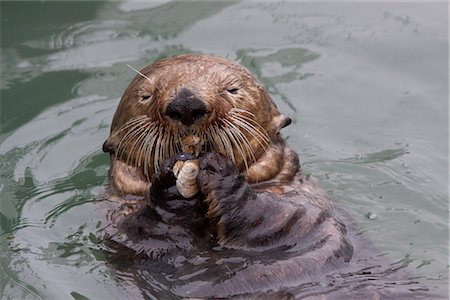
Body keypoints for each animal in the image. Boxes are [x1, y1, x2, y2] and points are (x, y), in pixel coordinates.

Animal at [100, 54, 354, 298]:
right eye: (146, 96)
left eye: (233, 89)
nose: (186, 104)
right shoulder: (116, 222)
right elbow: (139, 236)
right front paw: (169, 187)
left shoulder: (305, 204)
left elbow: (279, 214)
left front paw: (220, 172)